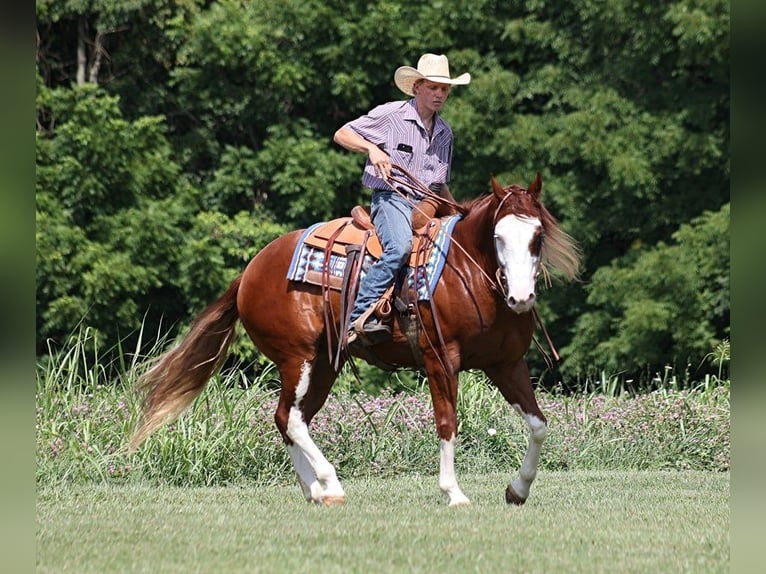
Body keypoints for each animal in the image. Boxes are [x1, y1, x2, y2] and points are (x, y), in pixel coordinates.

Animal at [129, 173, 581, 506]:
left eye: (537, 236)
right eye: (499, 238)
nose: (520, 298)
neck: (466, 273)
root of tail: (250, 271)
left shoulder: (506, 363)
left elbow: (539, 425)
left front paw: (517, 490)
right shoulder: (439, 359)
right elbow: (447, 422)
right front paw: (453, 493)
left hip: (323, 364)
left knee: (287, 418)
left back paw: (316, 491)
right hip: (297, 358)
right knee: (292, 418)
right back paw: (329, 482)